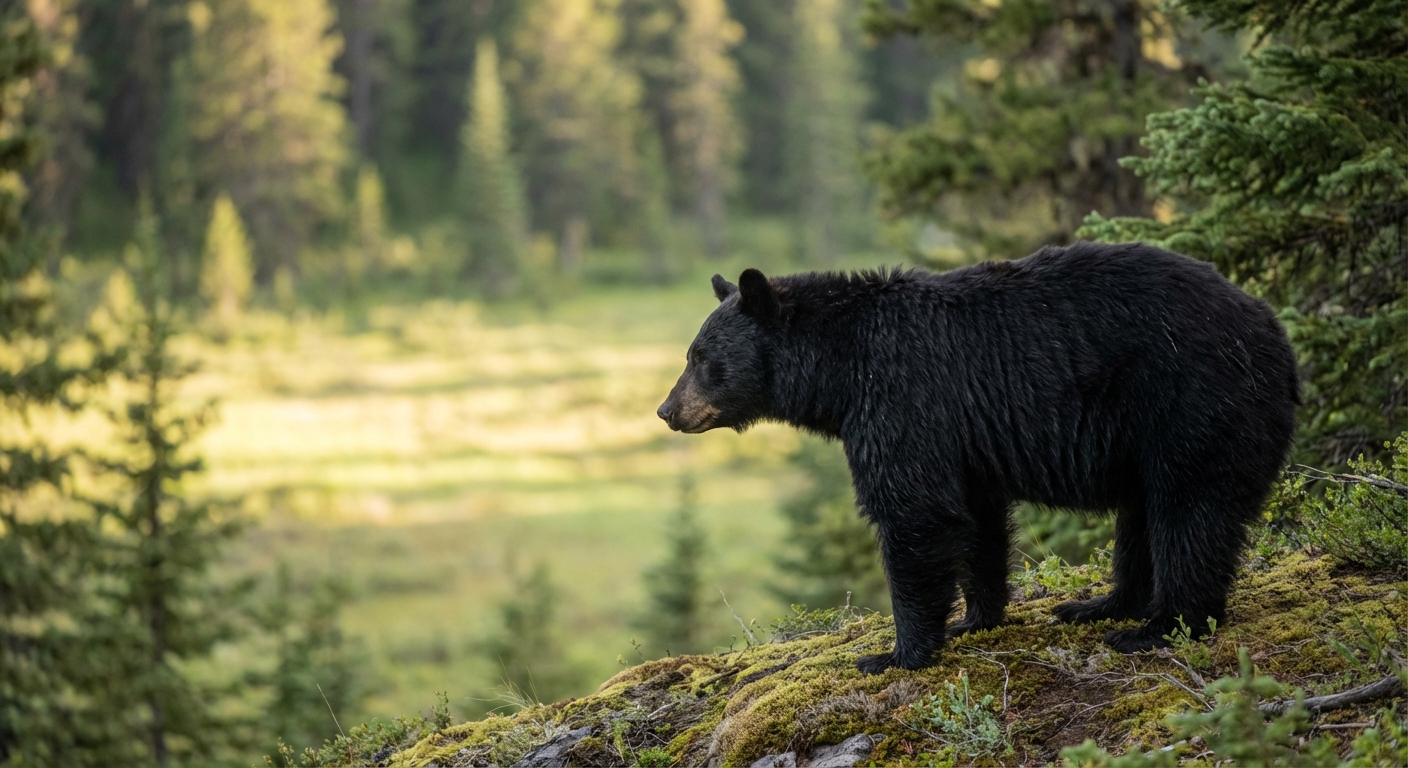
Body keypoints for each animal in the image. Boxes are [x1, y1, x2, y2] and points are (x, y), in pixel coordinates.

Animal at [656, 241, 1298, 674]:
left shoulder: (902, 401)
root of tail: (1274, 330)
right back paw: (1099, 605)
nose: (666, 409)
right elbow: (978, 519)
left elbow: (915, 514)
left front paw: (897, 653)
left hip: (1189, 402)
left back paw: (1161, 627)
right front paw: (976, 617)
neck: (841, 370)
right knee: (1141, 514)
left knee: (1189, 510)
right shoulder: (965, 436)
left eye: (702, 359)